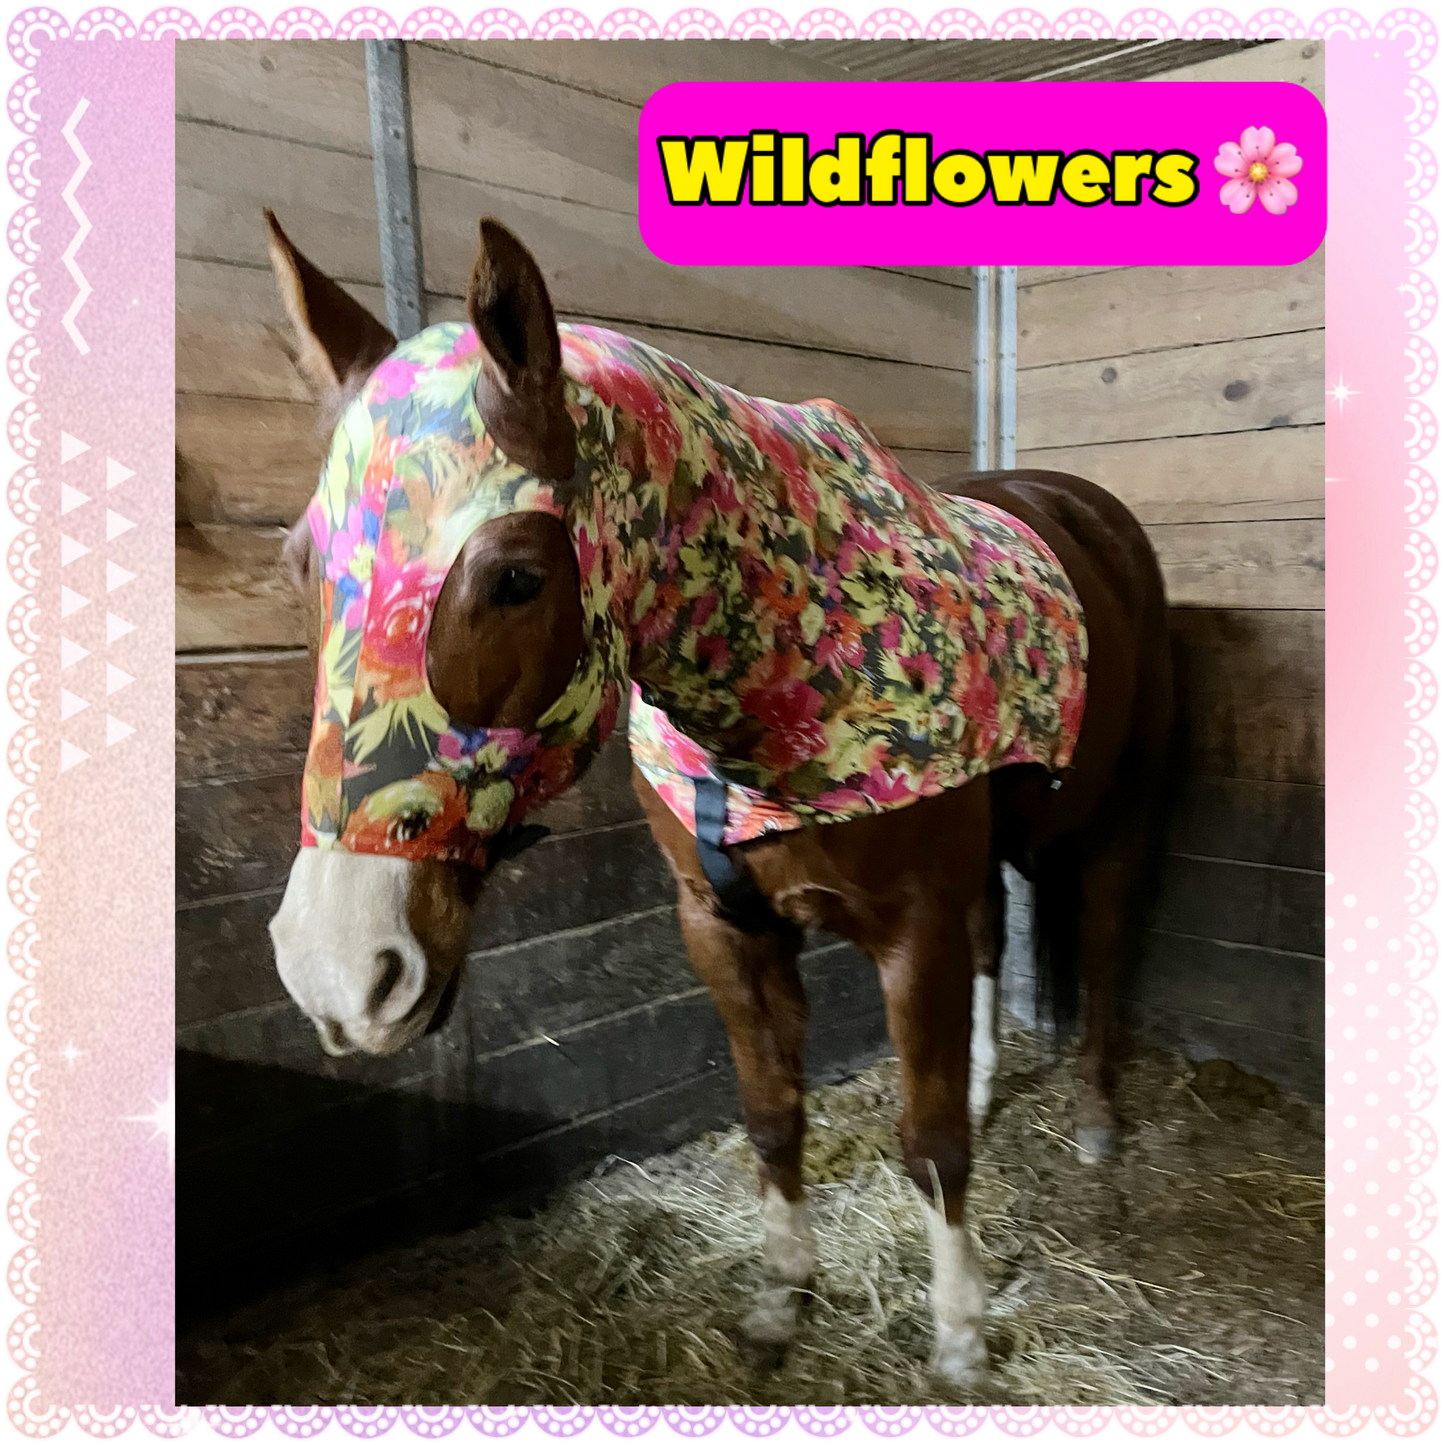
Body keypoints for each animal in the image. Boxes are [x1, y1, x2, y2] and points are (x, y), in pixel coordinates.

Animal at [262, 209, 1172, 1384]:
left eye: (516, 575)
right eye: (299, 562)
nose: (337, 968)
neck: (780, 657)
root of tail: (1075, 503)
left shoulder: (909, 928)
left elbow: (929, 1145)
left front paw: (961, 1336)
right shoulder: (721, 926)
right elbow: (772, 1115)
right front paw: (781, 1298)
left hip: (1114, 817)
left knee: (1102, 945)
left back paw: (1099, 1117)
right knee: (991, 943)